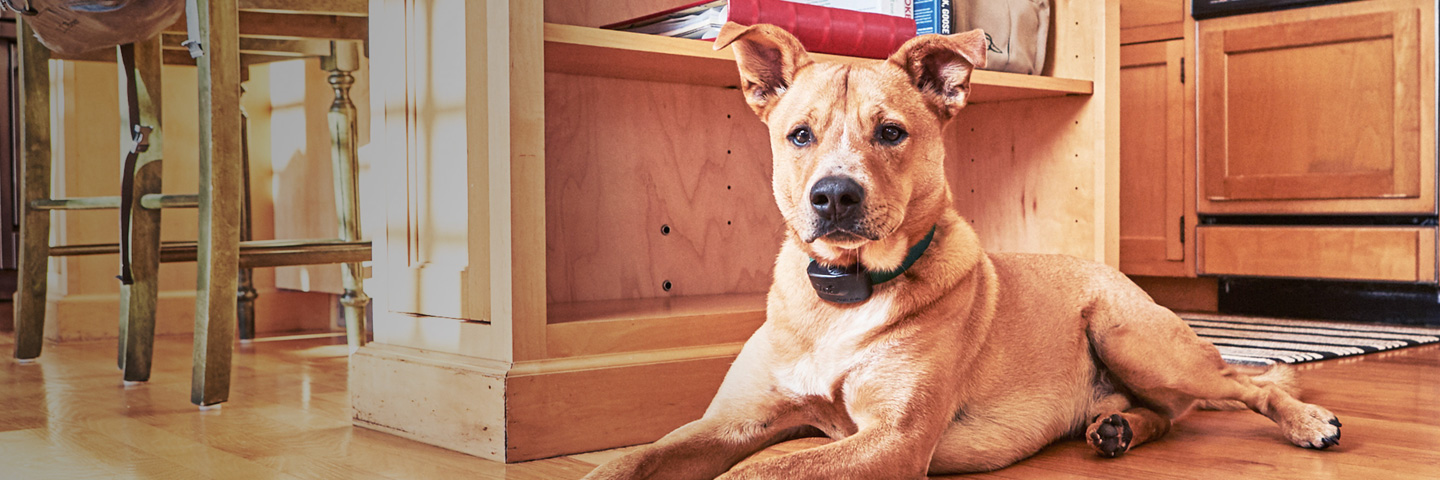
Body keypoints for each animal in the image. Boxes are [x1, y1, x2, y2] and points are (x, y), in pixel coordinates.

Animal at [581, 23, 1336, 478]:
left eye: (890, 132)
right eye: (799, 135)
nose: (834, 196)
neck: (843, 297)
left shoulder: (892, 439)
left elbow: (766, 468)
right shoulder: (737, 418)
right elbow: (634, 457)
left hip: (1135, 339)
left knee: (1247, 385)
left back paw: (1305, 421)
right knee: (1169, 416)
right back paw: (1116, 426)